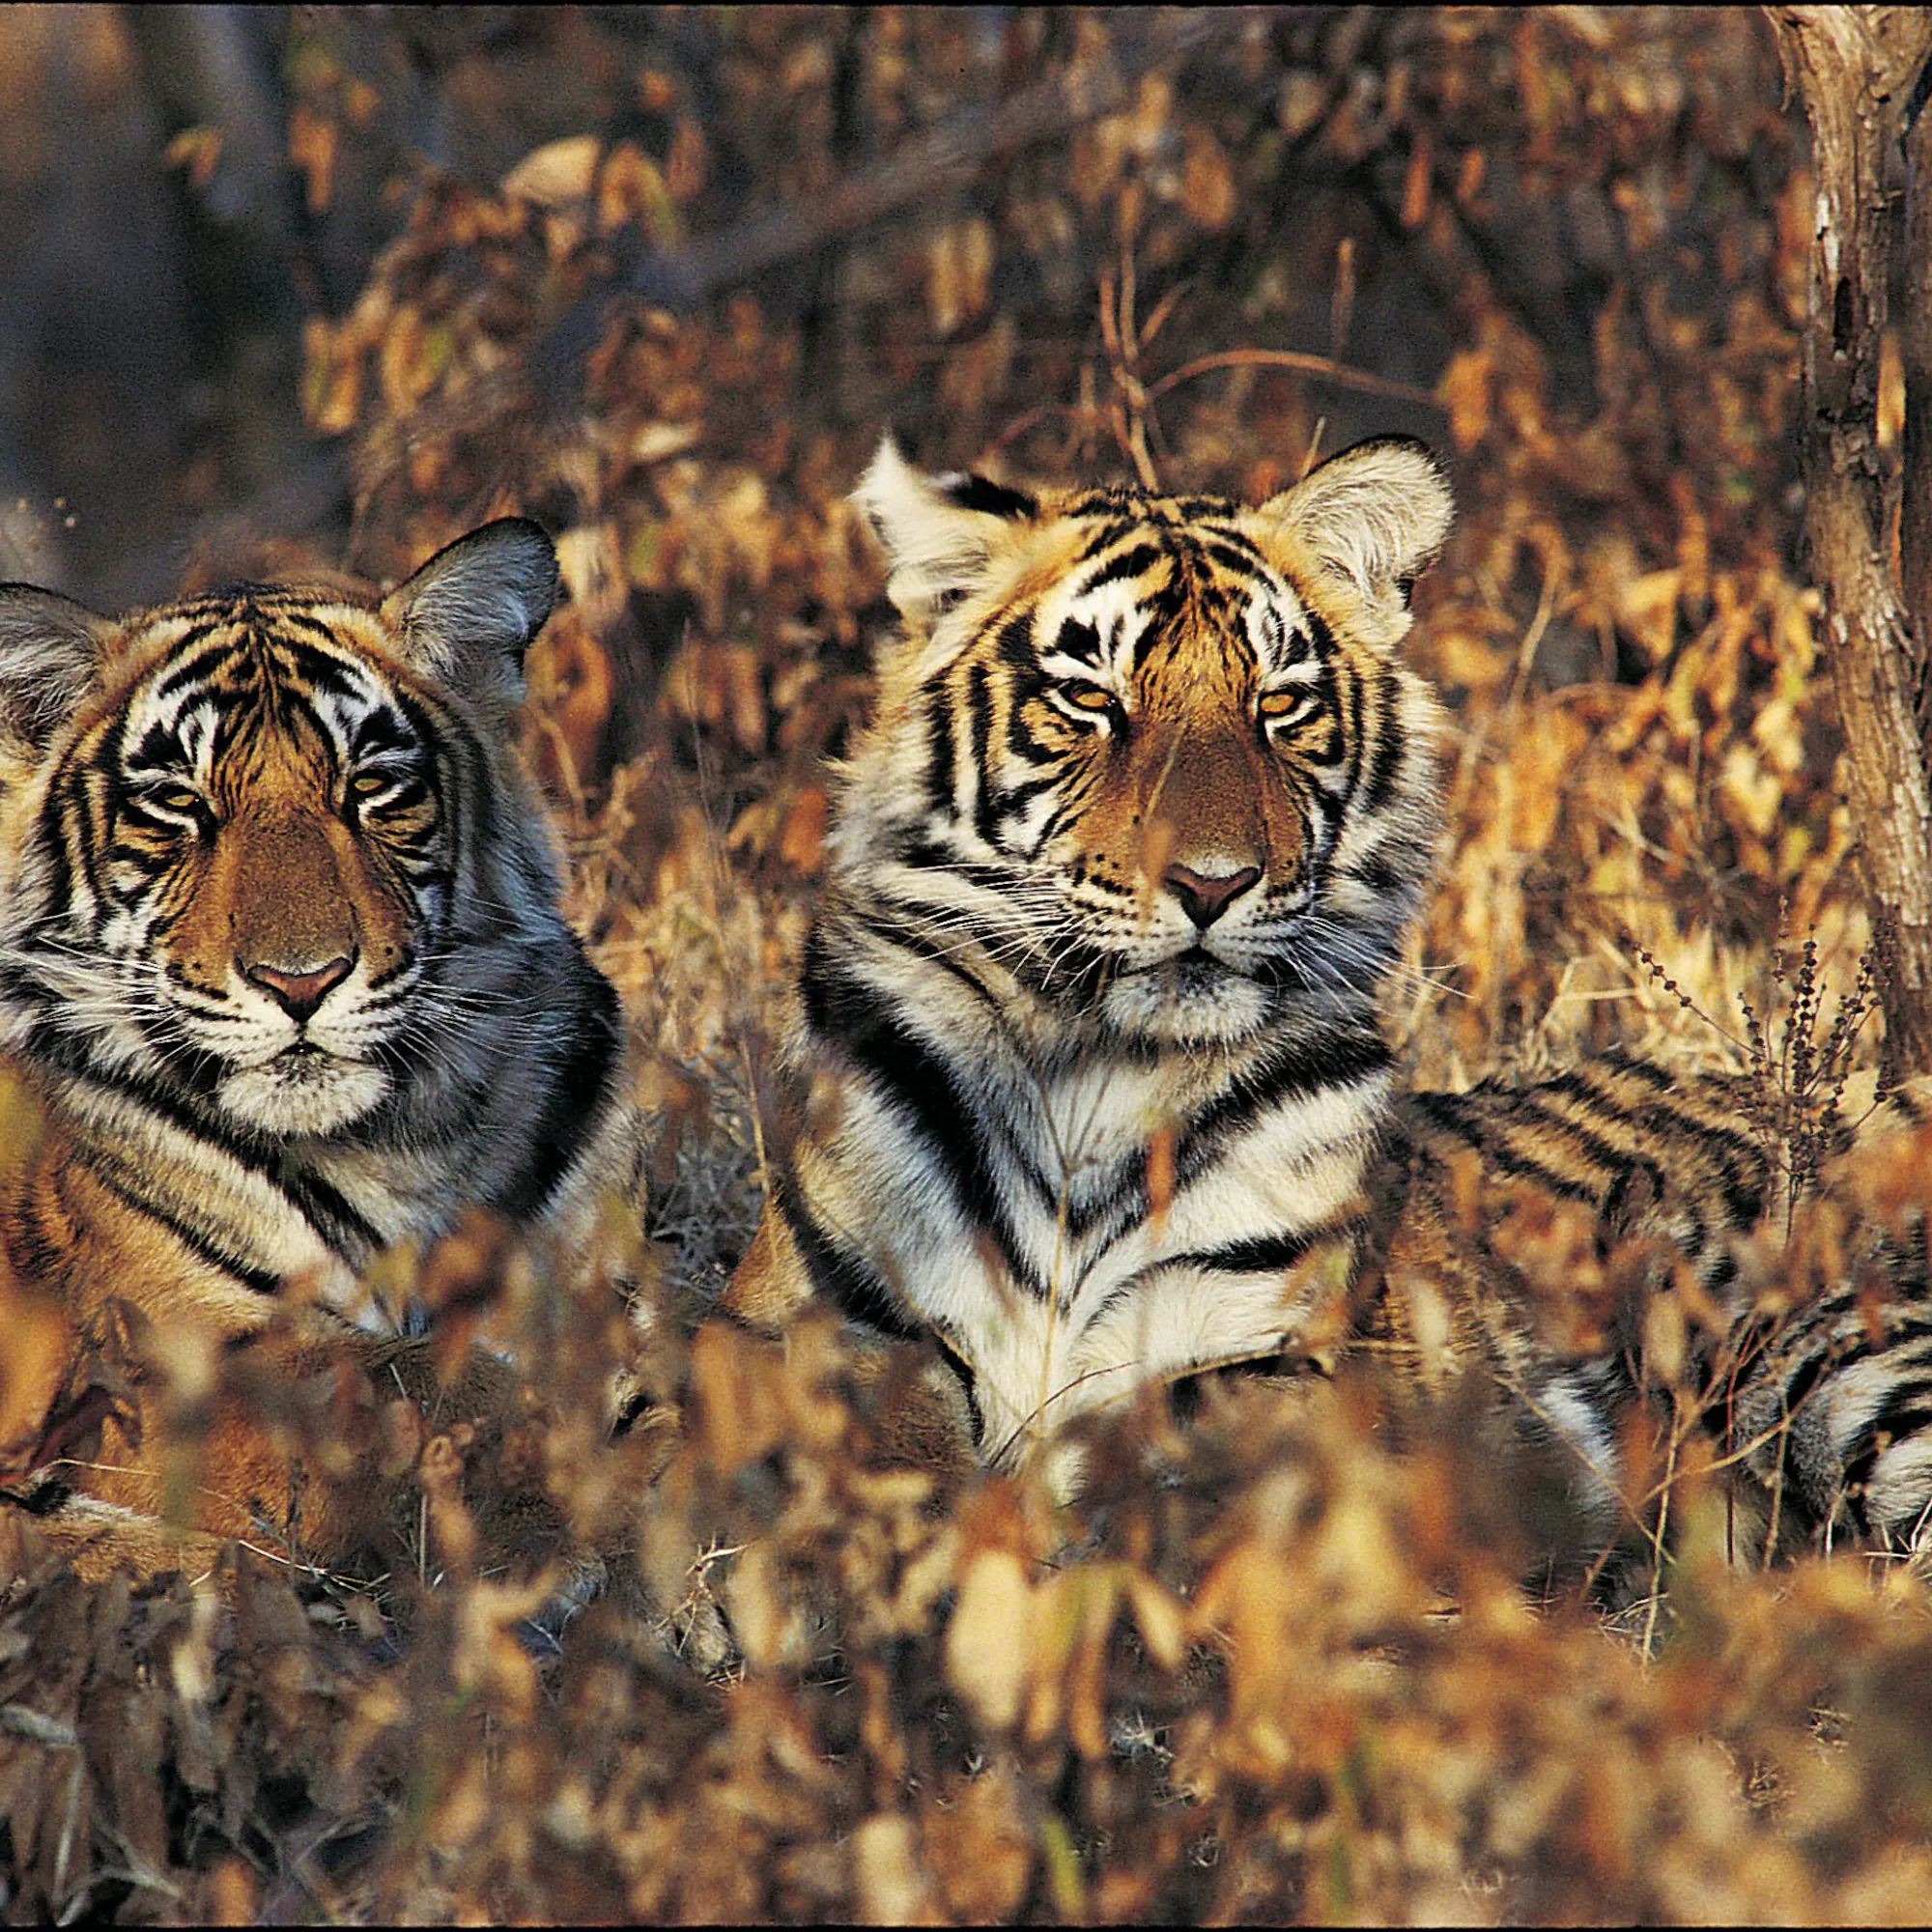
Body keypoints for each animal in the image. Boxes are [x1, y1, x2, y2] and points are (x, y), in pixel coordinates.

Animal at [0, 519, 643, 1580]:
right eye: (177, 803)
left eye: (371, 787)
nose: (300, 981)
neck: (404, 1144)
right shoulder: (161, 1367)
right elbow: (397, 1384)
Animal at [725, 434, 1932, 1570]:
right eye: (1090, 700)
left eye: (1277, 705)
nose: (1211, 883)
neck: (1090, 1075)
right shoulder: (821, 1317)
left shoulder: (1278, 1372)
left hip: (1829, 1358)